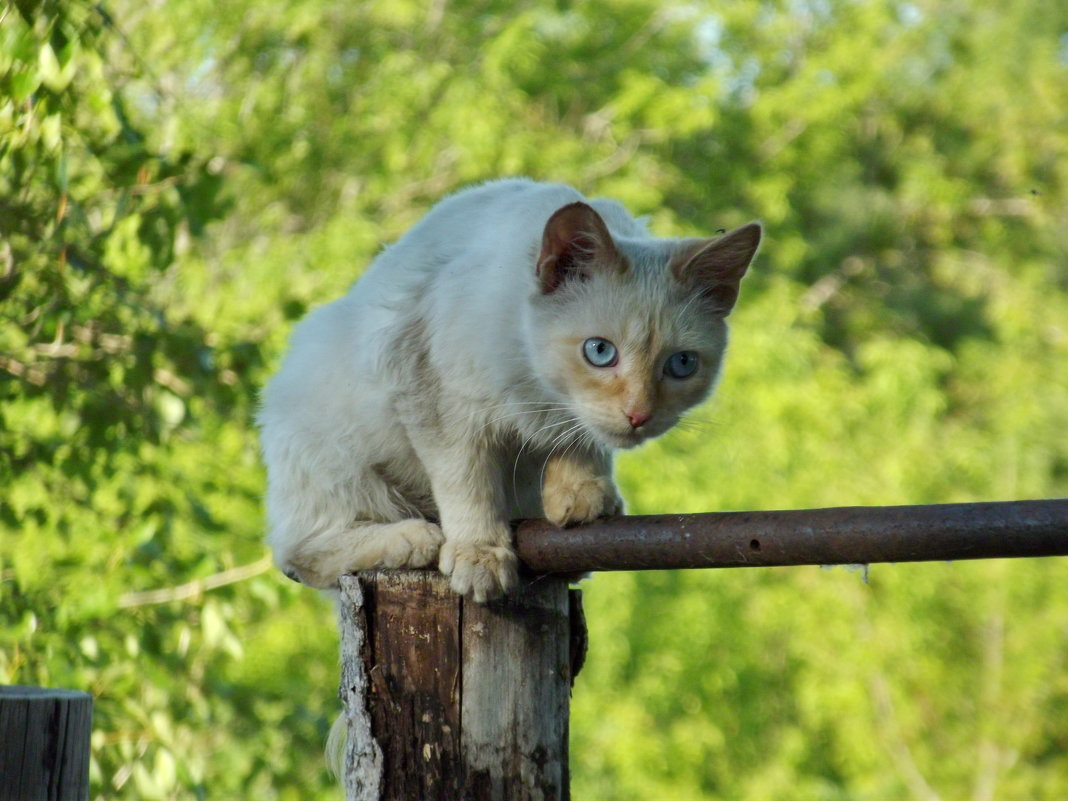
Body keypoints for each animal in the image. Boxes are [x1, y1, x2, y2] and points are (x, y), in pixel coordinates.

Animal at [258, 177, 760, 602]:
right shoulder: (433, 395)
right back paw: (412, 537)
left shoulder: (571, 418)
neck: (537, 389)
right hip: (335, 458)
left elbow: (583, 439)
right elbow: (468, 482)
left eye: (681, 364)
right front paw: (479, 555)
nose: (639, 415)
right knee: (300, 553)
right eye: (600, 352)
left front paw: (582, 495)